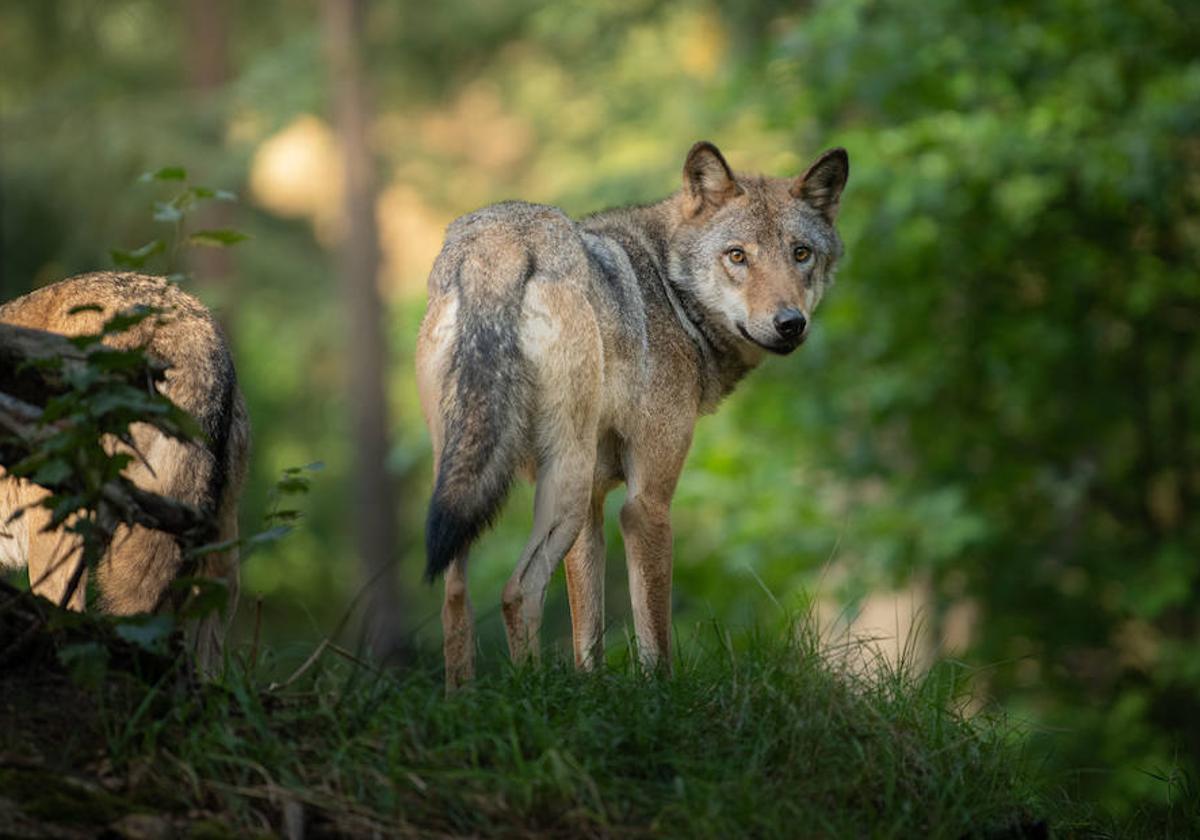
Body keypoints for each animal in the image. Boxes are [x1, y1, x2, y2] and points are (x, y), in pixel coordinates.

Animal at [417, 141, 849, 686]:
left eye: (801, 253)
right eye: (737, 256)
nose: (790, 323)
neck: (670, 291)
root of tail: (500, 244)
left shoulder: (595, 507)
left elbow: (589, 636)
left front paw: (590, 689)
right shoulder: (645, 504)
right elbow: (654, 635)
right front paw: (659, 695)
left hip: (468, 482)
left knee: (455, 597)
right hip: (565, 482)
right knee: (517, 591)